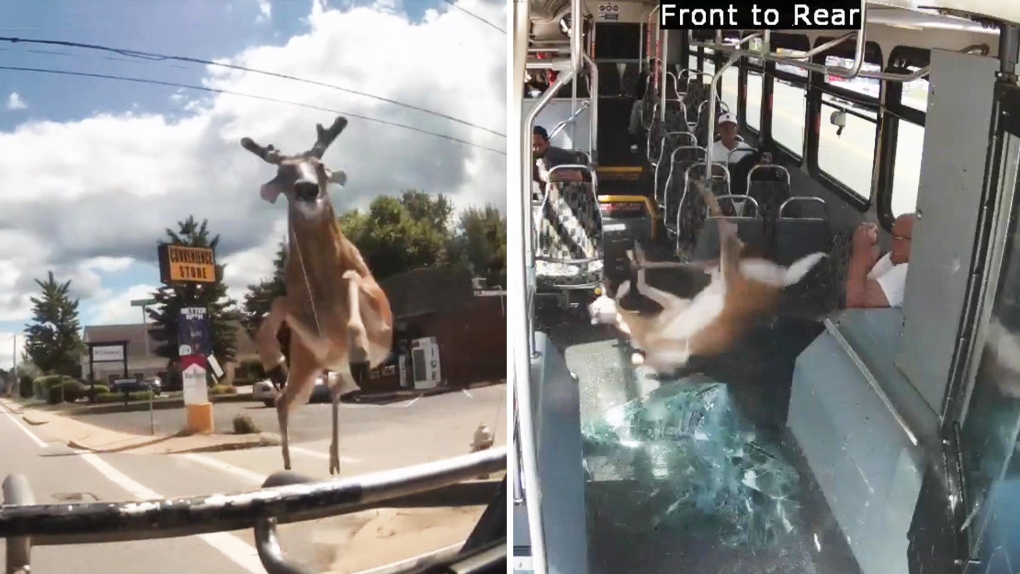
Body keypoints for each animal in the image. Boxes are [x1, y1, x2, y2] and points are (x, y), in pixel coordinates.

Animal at [238, 116, 393, 477]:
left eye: (321, 166)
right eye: (282, 173)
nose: (307, 189)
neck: (324, 294)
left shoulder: (380, 313)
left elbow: (352, 278)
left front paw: (359, 350)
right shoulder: (311, 334)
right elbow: (278, 302)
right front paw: (273, 361)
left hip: (342, 373)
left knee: (336, 388)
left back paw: (332, 459)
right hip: (307, 367)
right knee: (286, 400)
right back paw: (294, 465)